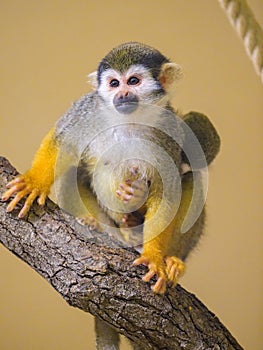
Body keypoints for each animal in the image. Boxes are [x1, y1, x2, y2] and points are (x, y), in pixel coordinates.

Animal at [1, 42, 221, 296]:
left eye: (133, 81)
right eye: (114, 83)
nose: (122, 94)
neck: (131, 120)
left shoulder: (170, 132)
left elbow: (167, 189)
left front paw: (154, 257)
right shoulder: (89, 109)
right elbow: (62, 141)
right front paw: (34, 183)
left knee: (190, 179)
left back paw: (171, 258)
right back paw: (100, 224)